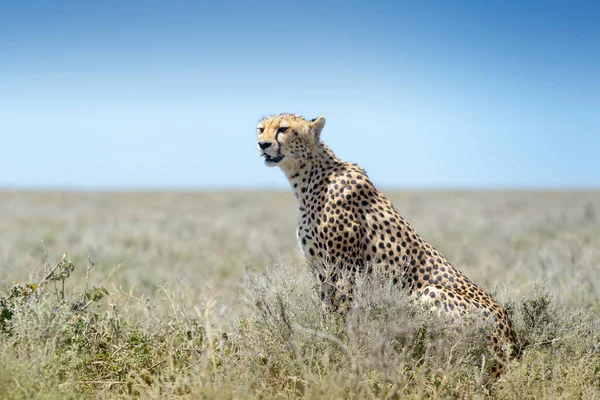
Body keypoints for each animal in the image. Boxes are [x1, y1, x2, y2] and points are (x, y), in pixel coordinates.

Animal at [255, 111, 516, 360]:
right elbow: (326, 309)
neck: (307, 177)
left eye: (283, 129)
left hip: (427, 294)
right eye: (261, 129)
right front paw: (324, 335)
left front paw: (339, 342)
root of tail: (512, 339)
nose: (262, 144)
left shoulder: (345, 268)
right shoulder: (322, 268)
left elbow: (342, 312)